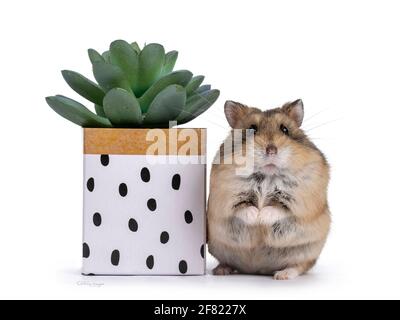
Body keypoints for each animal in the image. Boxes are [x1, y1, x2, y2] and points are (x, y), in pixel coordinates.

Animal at [208, 100, 330, 280]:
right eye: (252, 129)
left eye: (285, 129)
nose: (271, 150)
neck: (268, 175)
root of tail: (256, 269)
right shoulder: (226, 199)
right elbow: (243, 208)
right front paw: (256, 216)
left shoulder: (299, 203)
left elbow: (277, 209)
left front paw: (261, 216)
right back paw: (220, 271)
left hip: (306, 252)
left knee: (300, 266)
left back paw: (282, 275)